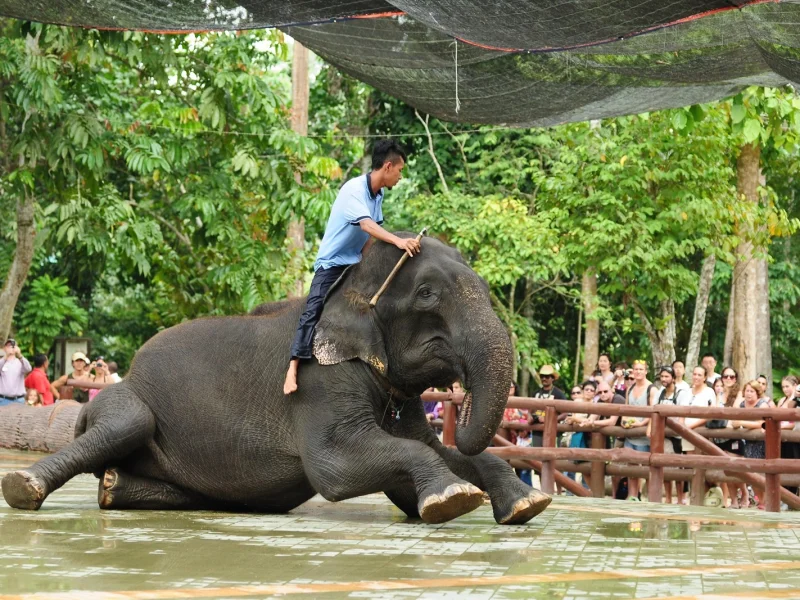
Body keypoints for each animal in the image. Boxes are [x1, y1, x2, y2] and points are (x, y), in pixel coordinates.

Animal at [1, 233, 551, 524]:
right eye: (427, 295)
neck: (348, 282)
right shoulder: (317, 379)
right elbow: (336, 469)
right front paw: (454, 499)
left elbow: (430, 449)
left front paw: (526, 504)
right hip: (120, 398)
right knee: (127, 423)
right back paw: (24, 488)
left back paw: (114, 487)